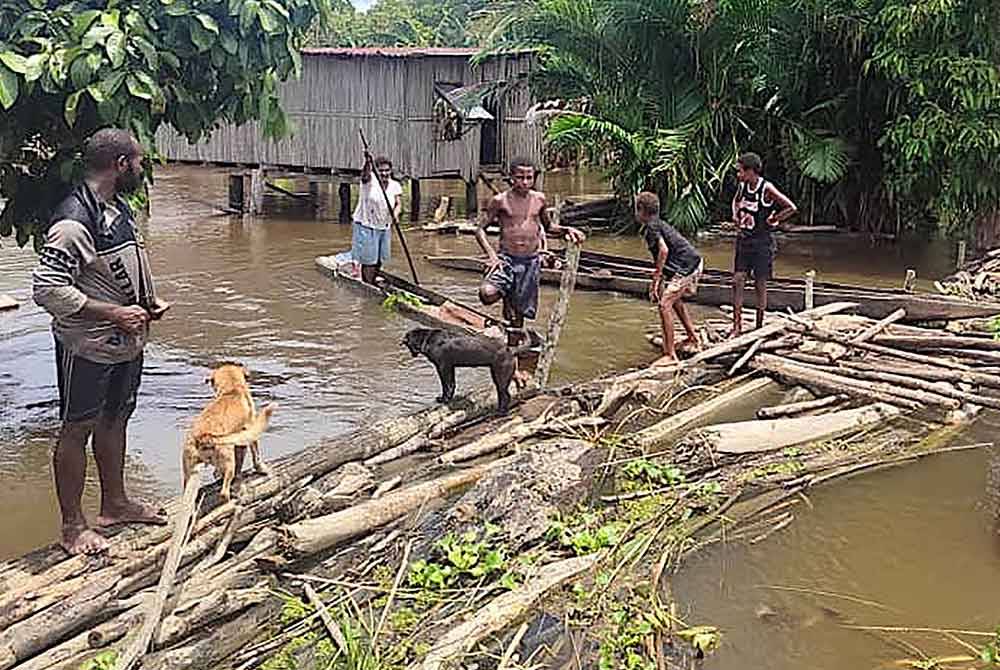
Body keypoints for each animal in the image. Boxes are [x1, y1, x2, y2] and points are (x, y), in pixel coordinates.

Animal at [182, 364, 276, 502]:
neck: (231, 389)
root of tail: (204, 437)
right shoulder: (250, 434)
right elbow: (255, 456)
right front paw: (261, 469)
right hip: (228, 461)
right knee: (224, 492)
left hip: (190, 472)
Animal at [402, 328, 536, 412]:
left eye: (407, 344)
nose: (412, 354)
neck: (428, 339)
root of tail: (511, 350)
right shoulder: (450, 366)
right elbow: (452, 384)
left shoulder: (442, 367)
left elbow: (446, 385)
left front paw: (443, 400)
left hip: (500, 375)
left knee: (506, 395)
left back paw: (500, 413)